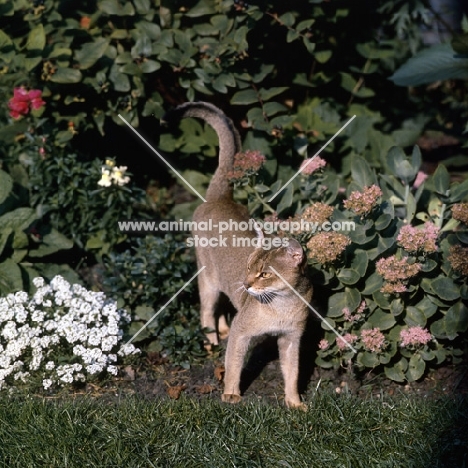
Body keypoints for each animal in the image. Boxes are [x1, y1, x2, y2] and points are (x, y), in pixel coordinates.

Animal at [166, 102, 312, 410]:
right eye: (248, 267)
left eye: (264, 273)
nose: (246, 285)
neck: (282, 306)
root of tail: (221, 197)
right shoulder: (242, 332)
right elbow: (233, 364)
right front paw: (231, 393)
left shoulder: (291, 339)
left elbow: (292, 373)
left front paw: (294, 402)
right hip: (206, 277)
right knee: (206, 310)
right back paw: (211, 338)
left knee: (222, 304)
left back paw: (219, 329)